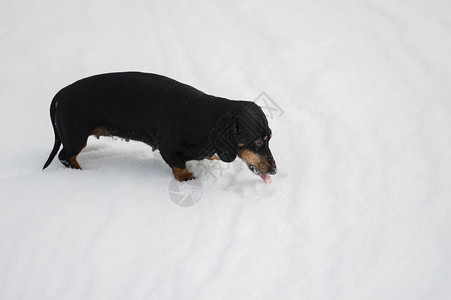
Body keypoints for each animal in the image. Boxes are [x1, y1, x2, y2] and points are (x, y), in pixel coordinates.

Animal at [43, 71, 276, 182]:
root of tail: (63, 92)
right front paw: (189, 180)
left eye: (269, 137)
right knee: (64, 156)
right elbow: (180, 168)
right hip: (76, 138)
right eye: (257, 141)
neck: (201, 117)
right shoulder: (168, 150)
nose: (274, 170)